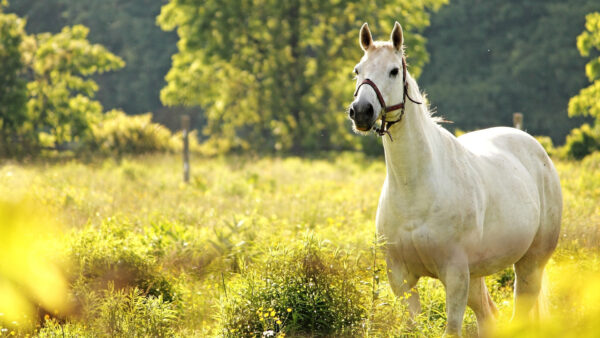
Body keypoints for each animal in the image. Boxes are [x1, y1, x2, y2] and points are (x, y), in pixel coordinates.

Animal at [346, 22, 564, 336]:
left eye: (393, 71)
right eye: (358, 69)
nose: (361, 112)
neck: (416, 189)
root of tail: (535, 148)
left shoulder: (455, 274)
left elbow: (451, 328)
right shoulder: (400, 278)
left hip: (529, 265)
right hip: (478, 276)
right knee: (488, 317)